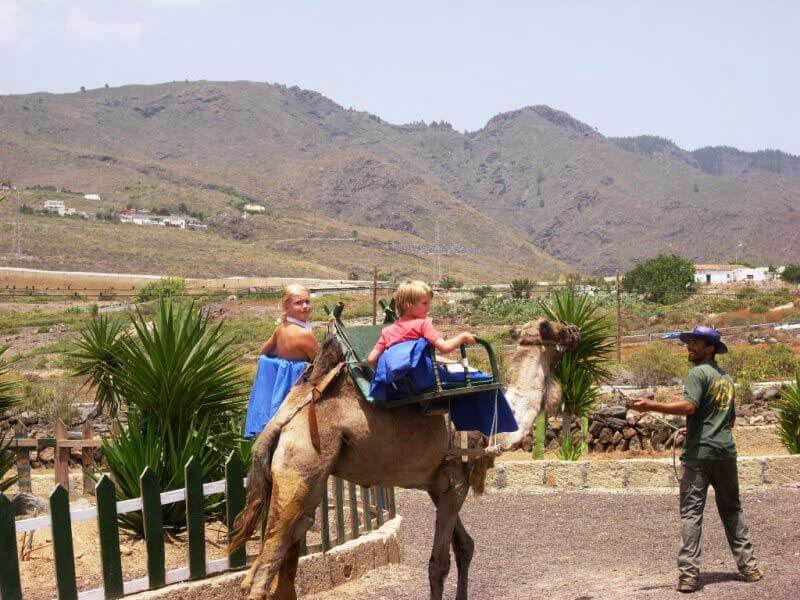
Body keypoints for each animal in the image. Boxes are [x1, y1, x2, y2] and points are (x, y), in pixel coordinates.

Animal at [230, 318, 579, 600]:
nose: (573, 330)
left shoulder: (438, 485)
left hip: (301, 481)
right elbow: (439, 563)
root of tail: (281, 421)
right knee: (260, 575)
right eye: (546, 325)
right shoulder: (455, 481)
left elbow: (464, 546)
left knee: (286, 559)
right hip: (301, 465)